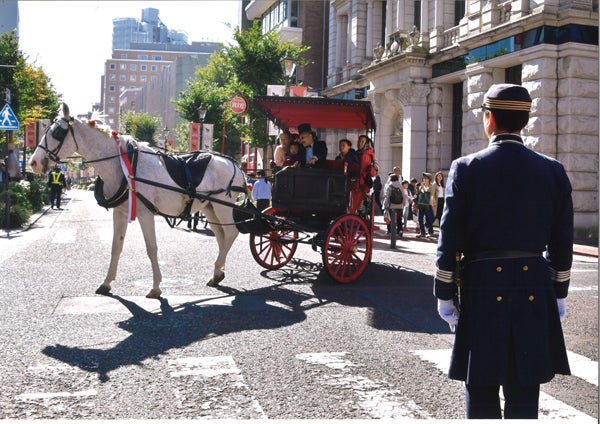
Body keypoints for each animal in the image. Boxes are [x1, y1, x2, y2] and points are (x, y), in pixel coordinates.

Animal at [27, 103, 248, 298]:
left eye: (57, 133)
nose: (33, 162)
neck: (123, 164)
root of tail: (236, 166)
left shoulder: (144, 213)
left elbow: (151, 248)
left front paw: (156, 287)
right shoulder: (120, 212)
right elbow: (116, 247)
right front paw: (106, 283)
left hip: (221, 205)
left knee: (231, 233)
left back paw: (217, 268)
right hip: (210, 207)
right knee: (222, 236)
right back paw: (217, 273)